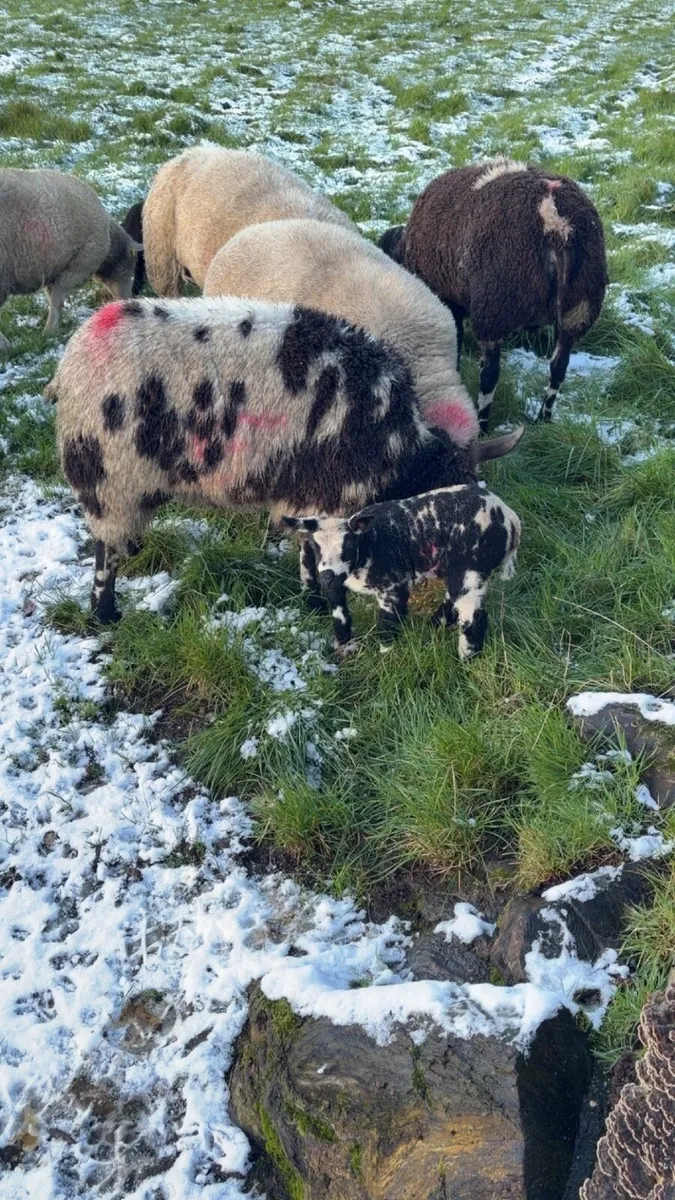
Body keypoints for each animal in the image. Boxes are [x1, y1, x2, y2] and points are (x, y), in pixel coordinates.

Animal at [0, 168, 141, 348]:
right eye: (131, 269)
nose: (128, 300)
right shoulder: (76, 267)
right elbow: (57, 299)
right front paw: (50, 331)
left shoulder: (53, 268)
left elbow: (52, 297)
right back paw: (6, 346)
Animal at [47, 295, 523, 624]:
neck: (397, 446)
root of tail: (72, 360)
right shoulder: (327, 490)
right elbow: (316, 554)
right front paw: (320, 603)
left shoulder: (306, 490)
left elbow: (306, 549)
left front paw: (311, 599)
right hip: (110, 477)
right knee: (104, 554)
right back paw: (105, 613)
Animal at [283, 485, 520, 658]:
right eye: (315, 547)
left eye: (348, 546)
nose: (326, 577)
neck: (368, 546)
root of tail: (510, 518)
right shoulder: (337, 583)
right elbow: (339, 615)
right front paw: (344, 646)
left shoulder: (393, 586)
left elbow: (388, 625)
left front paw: (386, 656)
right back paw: (434, 627)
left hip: (471, 566)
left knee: (473, 617)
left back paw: (466, 658)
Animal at [379, 157, 608, 427]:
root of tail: (556, 223)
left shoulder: (448, 299)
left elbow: (457, 341)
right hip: (580, 308)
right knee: (558, 367)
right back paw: (542, 418)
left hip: (495, 307)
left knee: (490, 374)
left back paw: (483, 423)